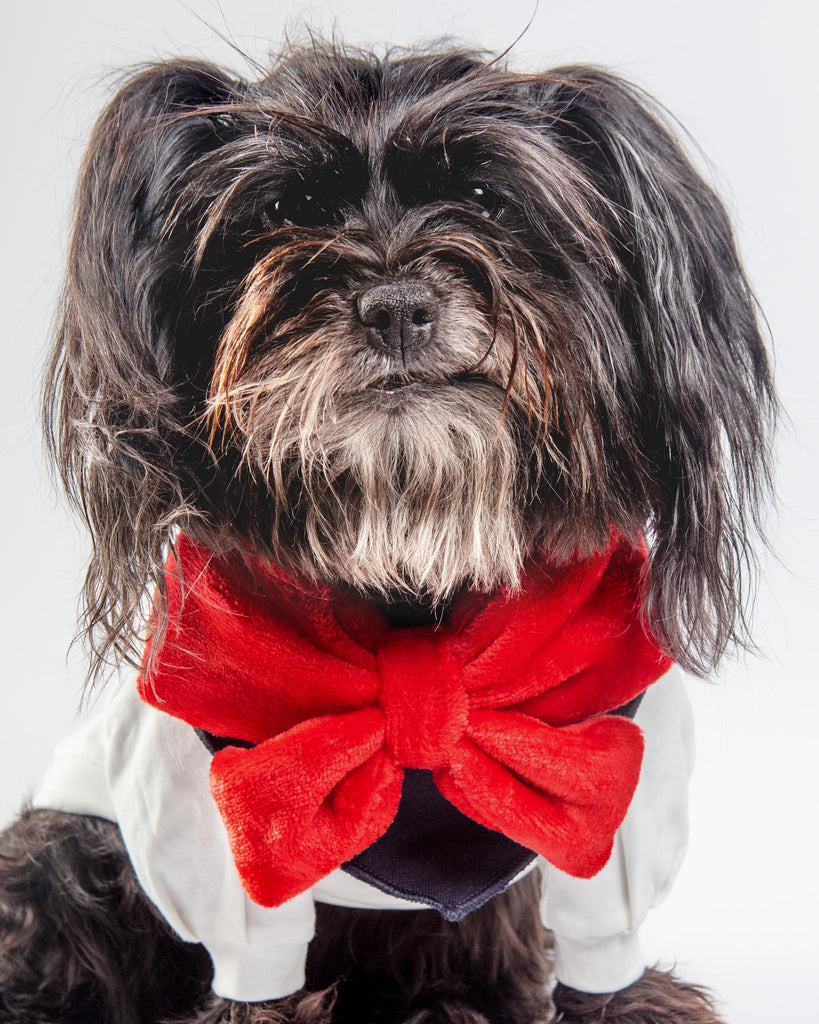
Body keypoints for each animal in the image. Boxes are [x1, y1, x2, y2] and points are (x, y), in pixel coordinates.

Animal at [0, 41, 773, 1024]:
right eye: (282, 210)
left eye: (487, 198)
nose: (396, 305)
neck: (409, 582)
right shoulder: (228, 833)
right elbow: (256, 968)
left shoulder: (616, 797)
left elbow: (601, 932)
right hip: (71, 842)